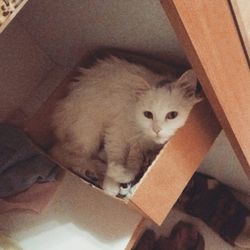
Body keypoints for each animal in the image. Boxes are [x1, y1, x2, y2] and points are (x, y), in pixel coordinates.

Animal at [50, 55, 201, 196]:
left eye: (172, 115)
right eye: (148, 114)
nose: (156, 130)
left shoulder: (138, 147)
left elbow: (133, 167)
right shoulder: (116, 131)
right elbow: (116, 159)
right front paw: (111, 184)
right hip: (88, 134)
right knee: (63, 154)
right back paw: (95, 169)